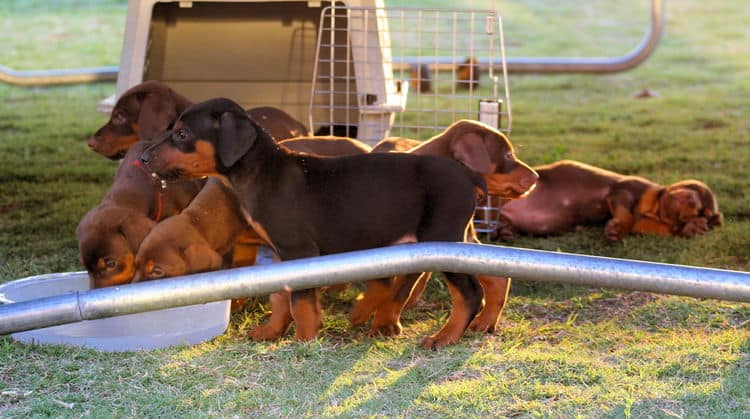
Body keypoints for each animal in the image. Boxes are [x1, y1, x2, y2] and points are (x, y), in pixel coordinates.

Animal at [142, 98, 488, 352]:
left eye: (182, 134)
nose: (143, 158)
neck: (262, 171)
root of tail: (468, 175)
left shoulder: (299, 250)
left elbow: (301, 302)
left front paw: (304, 340)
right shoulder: (281, 253)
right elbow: (281, 297)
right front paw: (272, 331)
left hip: (444, 240)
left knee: (470, 294)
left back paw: (445, 337)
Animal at [352, 120, 540, 334]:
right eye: (508, 155)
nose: (537, 176)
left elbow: (399, 291)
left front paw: (384, 324)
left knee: (497, 280)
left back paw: (484, 321)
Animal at [494, 160, 724, 243]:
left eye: (703, 213)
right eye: (692, 194)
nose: (693, 206)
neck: (653, 209)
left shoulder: (647, 225)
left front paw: (694, 228)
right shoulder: (622, 190)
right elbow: (626, 214)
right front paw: (615, 230)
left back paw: (506, 231)